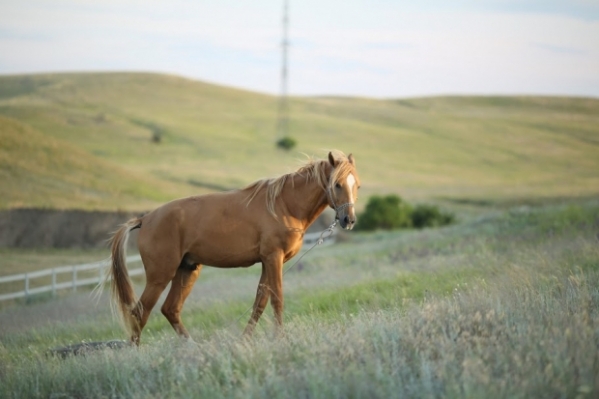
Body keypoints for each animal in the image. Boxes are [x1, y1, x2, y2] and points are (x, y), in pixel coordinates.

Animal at [106, 150, 360, 344]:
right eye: (337, 184)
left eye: (356, 185)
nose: (349, 220)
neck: (284, 205)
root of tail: (145, 219)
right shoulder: (273, 258)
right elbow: (277, 299)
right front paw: (280, 338)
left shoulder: (267, 262)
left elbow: (260, 302)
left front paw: (245, 339)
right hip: (160, 276)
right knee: (140, 312)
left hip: (187, 270)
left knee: (170, 309)